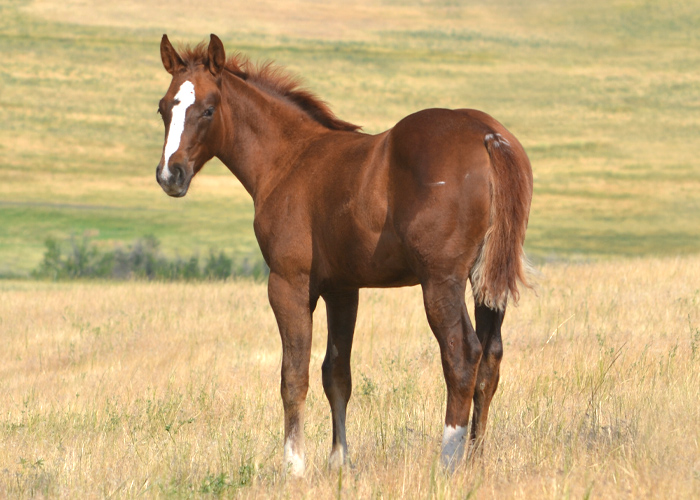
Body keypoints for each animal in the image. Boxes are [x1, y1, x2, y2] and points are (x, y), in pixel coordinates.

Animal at [156, 33, 532, 474]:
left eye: (208, 109)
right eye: (163, 108)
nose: (170, 175)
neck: (289, 160)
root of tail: (488, 136)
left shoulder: (289, 284)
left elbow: (293, 376)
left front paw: (294, 466)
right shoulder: (343, 289)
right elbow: (336, 374)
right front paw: (339, 461)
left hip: (441, 281)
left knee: (462, 356)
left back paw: (448, 462)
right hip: (486, 279)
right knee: (490, 359)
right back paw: (475, 458)